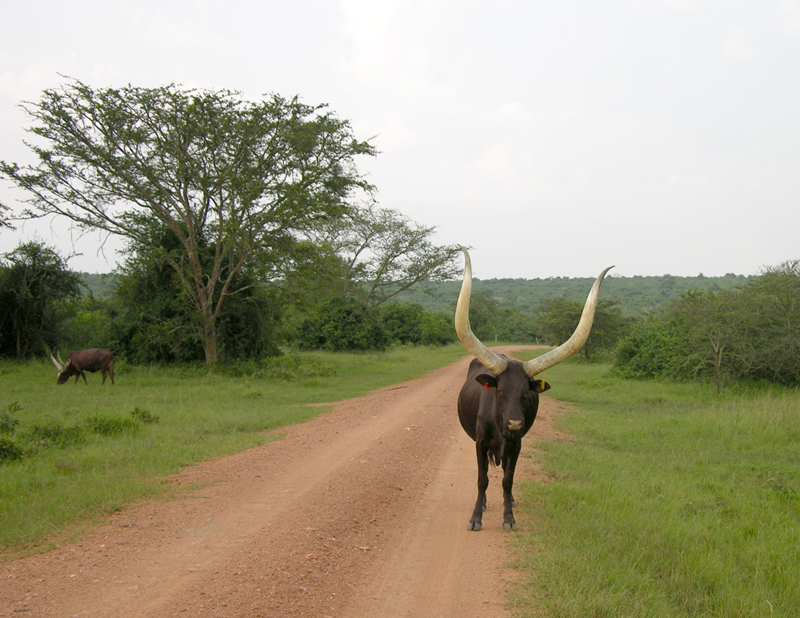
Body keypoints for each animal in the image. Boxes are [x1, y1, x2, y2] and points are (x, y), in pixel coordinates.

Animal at [455, 247, 611, 531]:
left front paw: (508, 517)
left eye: (526, 394)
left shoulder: (516, 444)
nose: (515, 423)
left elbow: (508, 480)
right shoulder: (480, 443)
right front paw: (475, 517)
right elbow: (482, 479)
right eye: (500, 392)